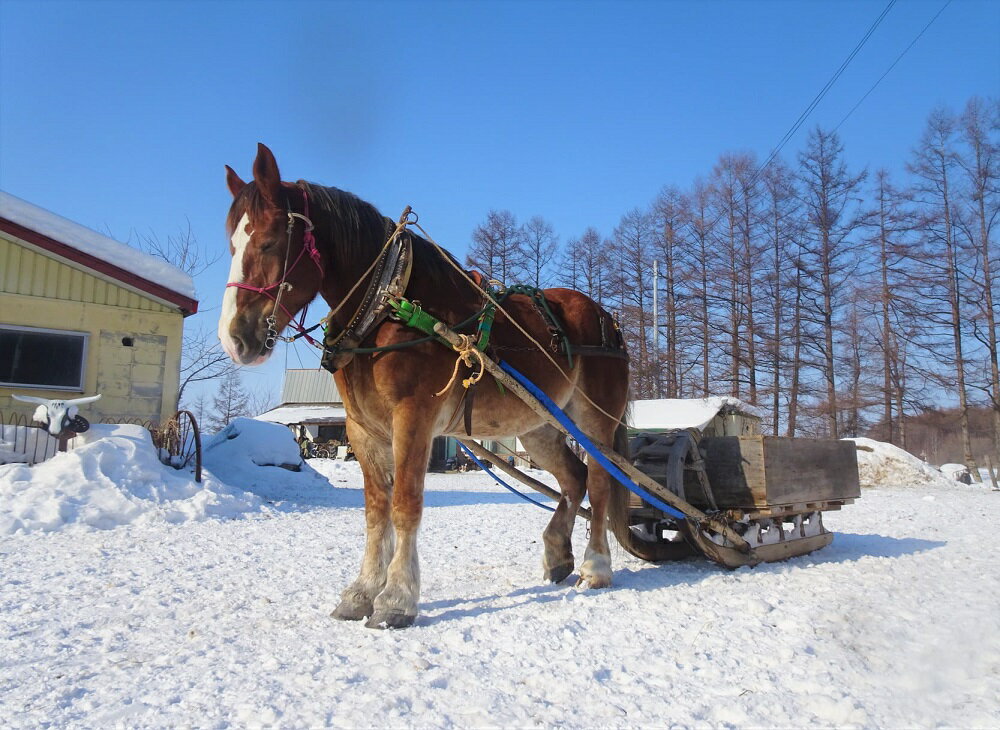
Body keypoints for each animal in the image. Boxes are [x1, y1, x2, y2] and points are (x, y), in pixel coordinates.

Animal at [222, 142, 628, 624]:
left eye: (269, 242)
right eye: (231, 243)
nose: (234, 338)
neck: (386, 306)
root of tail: (606, 320)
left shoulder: (413, 416)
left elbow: (405, 505)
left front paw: (396, 599)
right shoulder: (362, 428)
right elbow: (375, 511)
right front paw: (361, 592)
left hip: (594, 423)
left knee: (599, 484)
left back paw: (595, 566)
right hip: (539, 427)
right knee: (573, 479)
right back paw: (557, 553)